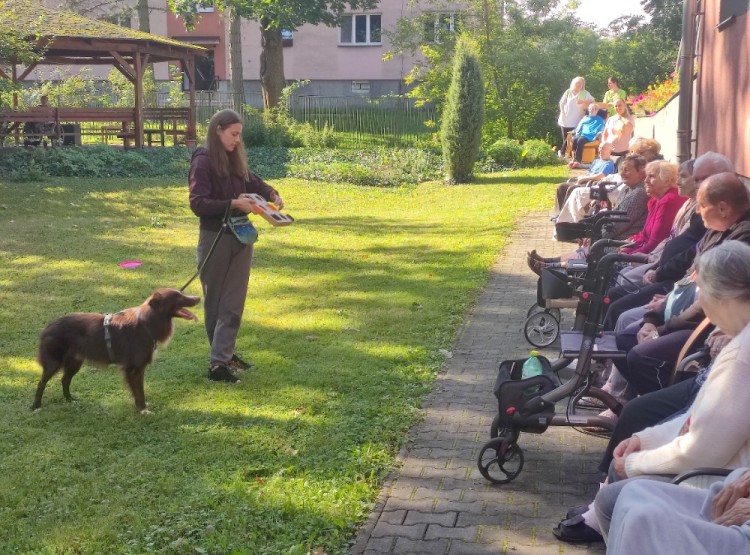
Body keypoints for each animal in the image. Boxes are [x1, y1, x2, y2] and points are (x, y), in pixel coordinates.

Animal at [33, 288, 200, 414]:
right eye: (178, 297)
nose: (198, 298)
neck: (147, 323)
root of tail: (47, 327)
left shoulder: (138, 369)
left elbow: (138, 390)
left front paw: (141, 407)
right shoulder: (134, 369)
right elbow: (139, 391)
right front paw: (143, 410)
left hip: (75, 361)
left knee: (65, 380)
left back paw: (70, 400)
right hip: (54, 362)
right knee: (42, 383)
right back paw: (36, 406)